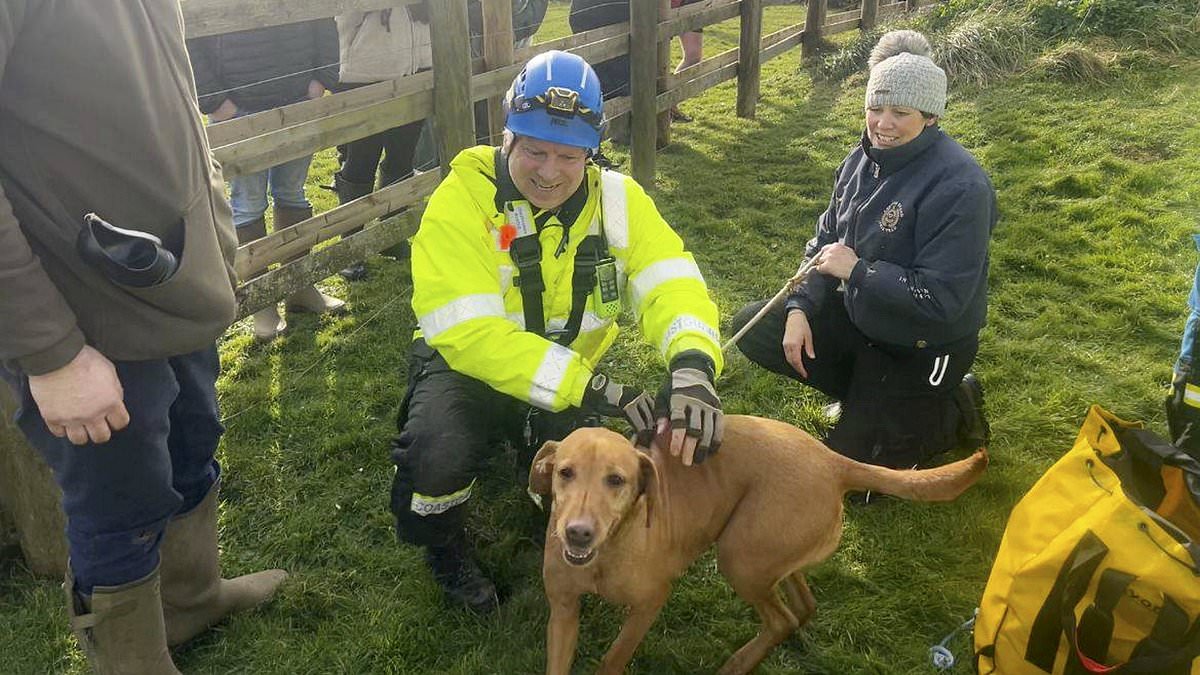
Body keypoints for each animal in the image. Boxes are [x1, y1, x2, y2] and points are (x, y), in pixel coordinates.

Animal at [525, 413, 984, 667]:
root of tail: (833, 460)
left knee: (781, 619)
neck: (605, 554)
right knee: (802, 607)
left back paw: (737, 663)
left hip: (740, 558)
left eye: (616, 480)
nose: (577, 531)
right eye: (565, 473)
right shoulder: (562, 612)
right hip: (769, 554)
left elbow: (613, 658)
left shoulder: (649, 604)